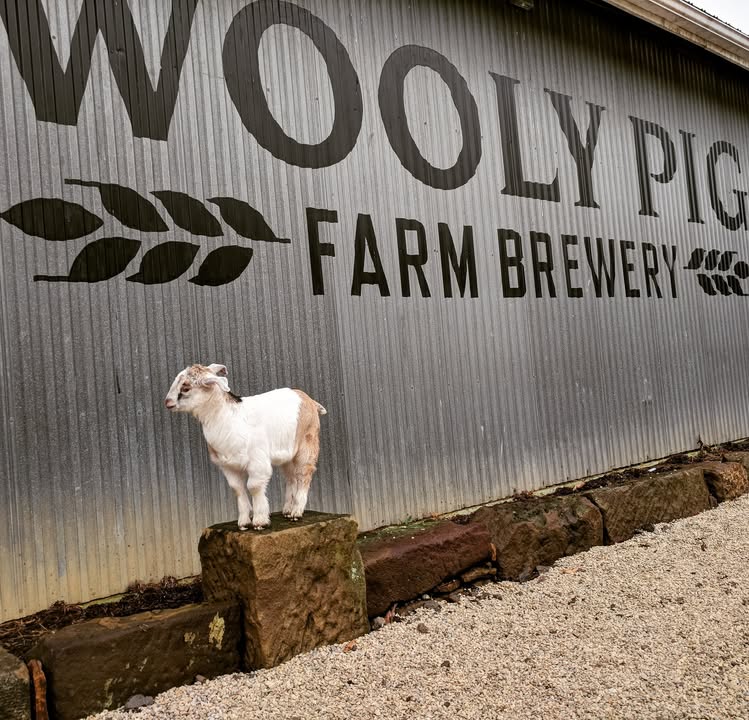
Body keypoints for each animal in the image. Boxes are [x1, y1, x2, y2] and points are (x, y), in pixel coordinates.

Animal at [164, 363, 326, 530]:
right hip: (287, 453)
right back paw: (287, 510)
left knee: (304, 474)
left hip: (307, 445)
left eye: (186, 387)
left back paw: (296, 512)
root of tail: (309, 400)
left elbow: (253, 486)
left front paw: (260, 521)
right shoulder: (228, 466)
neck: (229, 418)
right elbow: (237, 489)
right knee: (291, 477)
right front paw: (243, 522)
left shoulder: (258, 462)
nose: (167, 402)